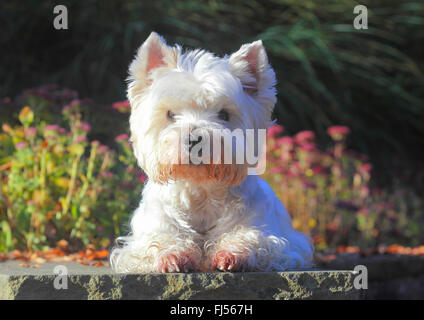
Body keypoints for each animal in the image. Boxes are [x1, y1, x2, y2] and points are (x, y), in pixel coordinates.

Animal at [111, 31, 314, 272]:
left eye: (224, 114)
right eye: (170, 114)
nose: (194, 140)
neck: (200, 193)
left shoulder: (273, 238)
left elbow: (253, 238)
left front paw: (231, 254)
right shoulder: (150, 231)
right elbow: (158, 241)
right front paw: (172, 256)